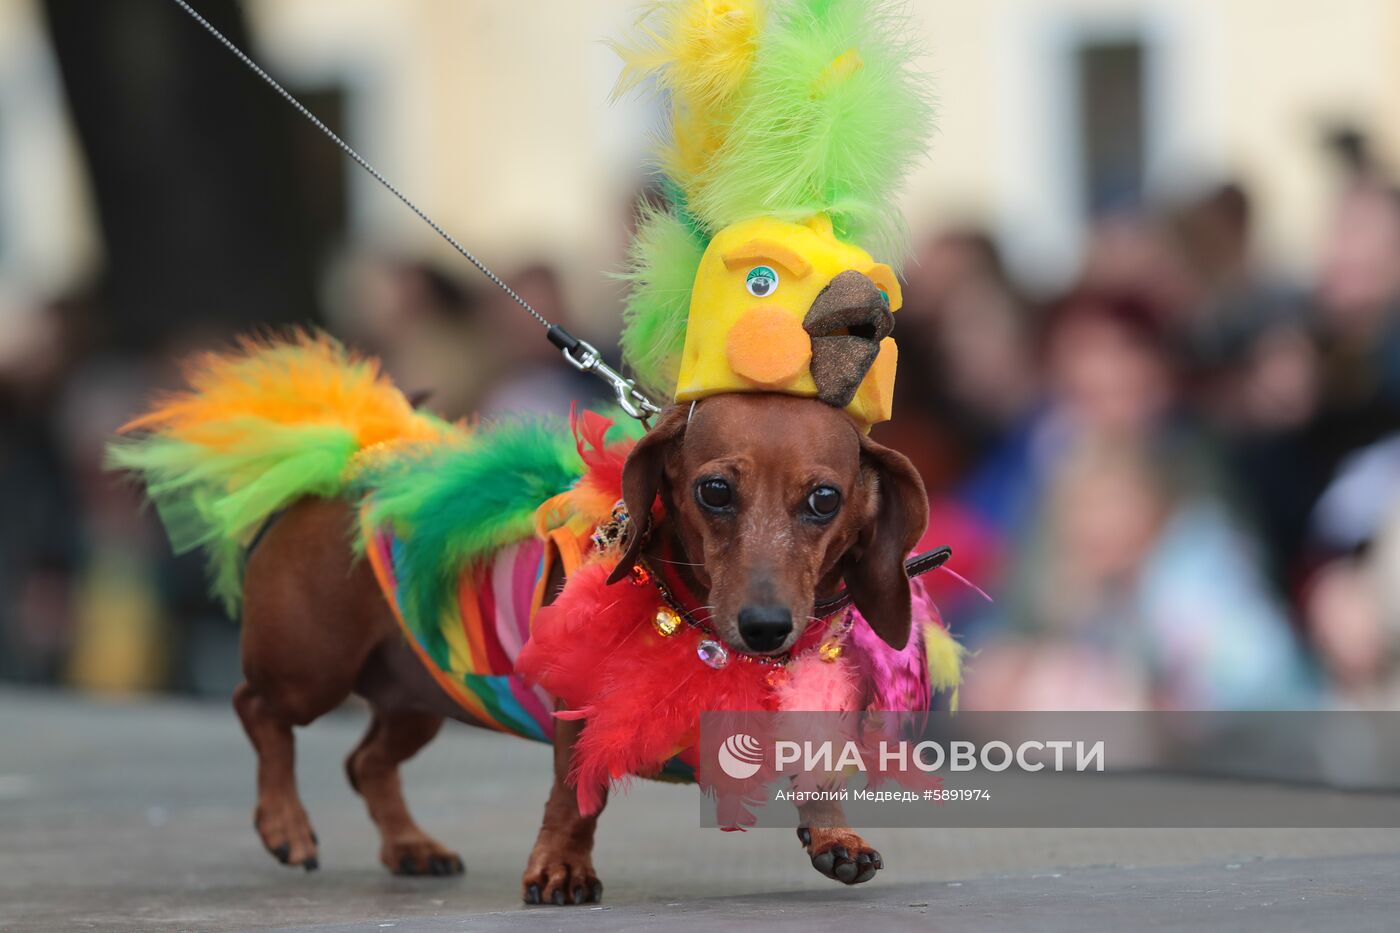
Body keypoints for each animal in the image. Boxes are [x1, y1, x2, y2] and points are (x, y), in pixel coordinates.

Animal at [231, 389, 929, 896]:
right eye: (714, 491)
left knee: (366, 762)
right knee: (257, 709)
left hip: (421, 693)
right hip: (310, 671)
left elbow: (819, 773)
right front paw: (561, 866)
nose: (765, 626)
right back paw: (284, 822)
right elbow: (574, 797)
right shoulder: (579, 709)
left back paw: (410, 846)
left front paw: (836, 837)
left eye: (824, 499)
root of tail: (345, 467)